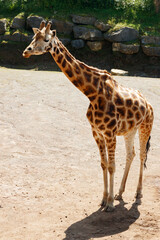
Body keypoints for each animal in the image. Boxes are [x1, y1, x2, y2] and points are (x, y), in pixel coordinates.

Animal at [22, 21, 154, 212]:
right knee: (131, 154)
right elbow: (104, 164)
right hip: (130, 130)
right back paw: (120, 193)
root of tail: (148, 104)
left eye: (46, 39)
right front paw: (104, 199)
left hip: (146, 126)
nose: (27, 51)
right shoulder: (97, 133)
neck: (92, 93)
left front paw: (110, 205)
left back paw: (138, 193)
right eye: (33, 37)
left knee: (143, 155)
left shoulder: (110, 133)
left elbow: (112, 166)